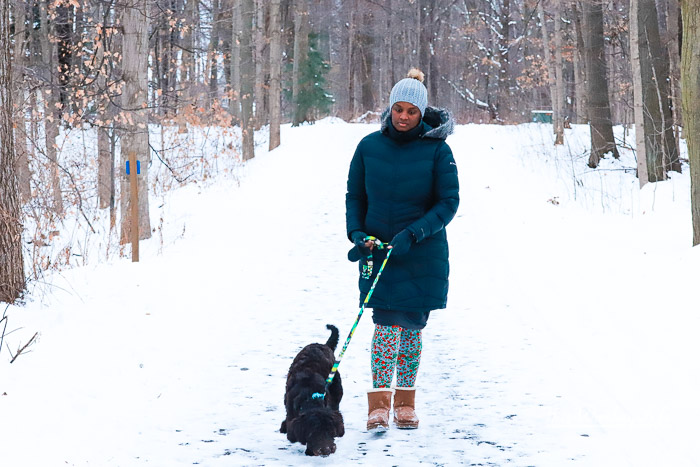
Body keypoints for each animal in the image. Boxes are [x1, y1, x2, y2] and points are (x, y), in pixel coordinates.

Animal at [278, 326, 344, 458]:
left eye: (331, 431)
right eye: (313, 433)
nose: (326, 450)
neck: (309, 396)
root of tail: (323, 345)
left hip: (337, 387)